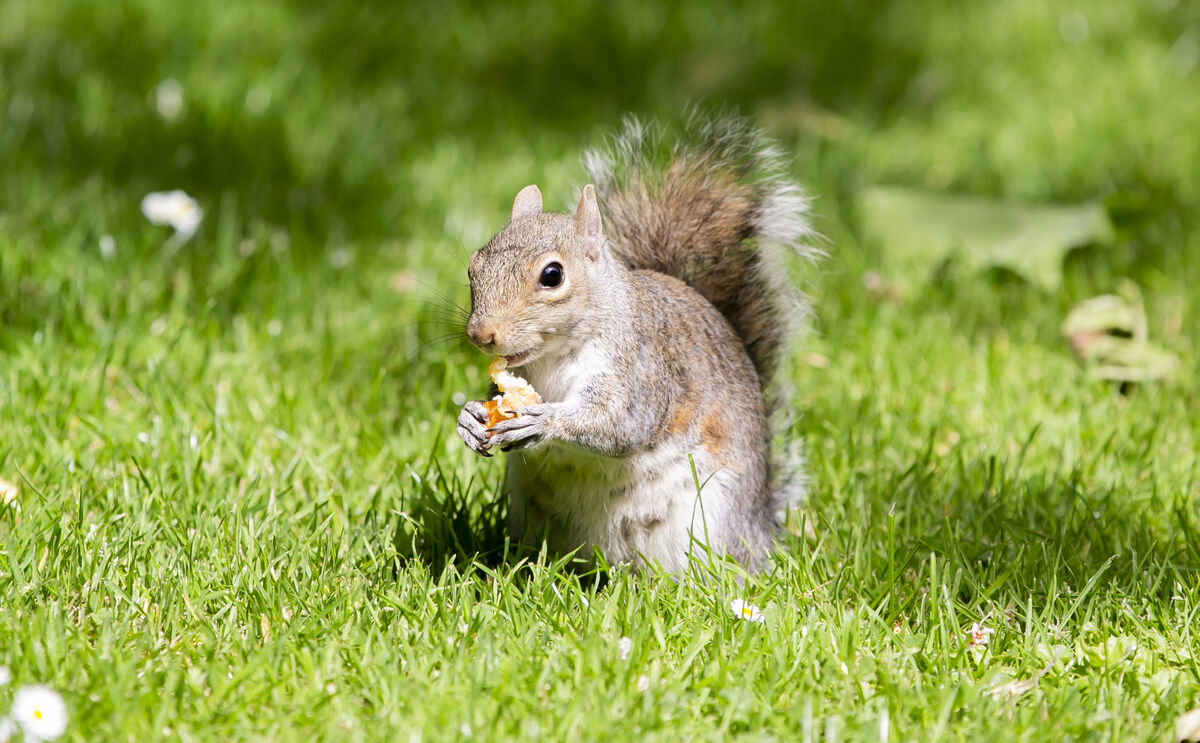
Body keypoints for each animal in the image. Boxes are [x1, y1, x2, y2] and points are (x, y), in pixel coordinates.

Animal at [456, 112, 818, 573]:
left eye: (552, 275)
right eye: (474, 266)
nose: (481, 335)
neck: (552, 359)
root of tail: (760, 529)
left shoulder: (641, 371)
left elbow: (619, 423)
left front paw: (544, 422)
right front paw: (469, 418)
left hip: (710, 521)